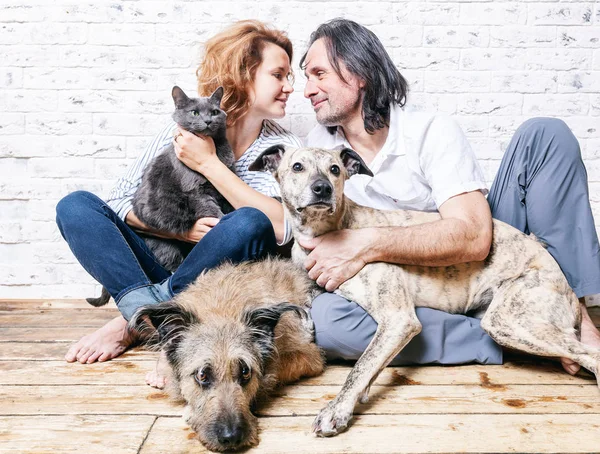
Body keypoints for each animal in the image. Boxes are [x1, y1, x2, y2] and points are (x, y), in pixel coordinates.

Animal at [88, 85, 236, 306]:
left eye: (215, 111)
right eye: (194, 112)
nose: (208, 120)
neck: (215, 151)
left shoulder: (224, 186)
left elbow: (229, 204)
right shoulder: (196, 190)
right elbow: (211, 210)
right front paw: (221, 221)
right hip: (166, 246)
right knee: (171, 272)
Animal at [250, 144, 600, 438]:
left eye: (335, 169)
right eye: (297, 166)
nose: (322, 188)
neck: (330, 232)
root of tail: (568, 289)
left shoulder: (399, 320)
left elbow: (361, 366)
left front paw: (337, 409)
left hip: (509, 320)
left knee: (590, 354)